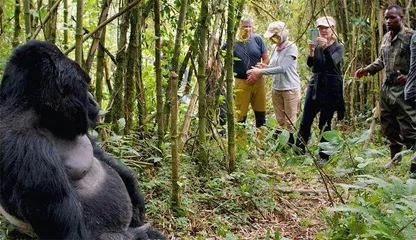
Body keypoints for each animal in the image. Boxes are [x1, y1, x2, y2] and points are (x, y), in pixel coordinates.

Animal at [0, 40, 165, 239]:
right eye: (84, 86)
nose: (93, 101)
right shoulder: (29, 149)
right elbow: (72, 233)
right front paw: (140, 233)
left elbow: (100, 153)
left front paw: (133, 189)